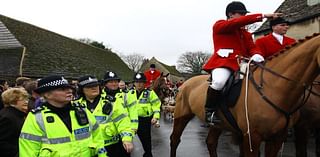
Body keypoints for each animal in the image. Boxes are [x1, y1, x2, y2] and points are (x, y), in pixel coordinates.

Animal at [170, 33, 320, 157]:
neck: (273, 87)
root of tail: (187, 83)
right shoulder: (252, 137)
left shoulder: (277, 138)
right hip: (181, 116)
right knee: (174, 140)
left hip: (219, 124)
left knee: (211, 142)